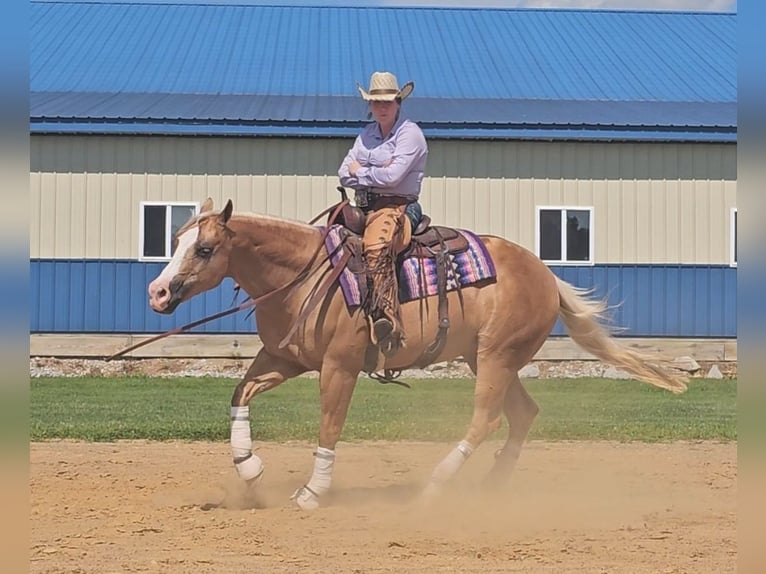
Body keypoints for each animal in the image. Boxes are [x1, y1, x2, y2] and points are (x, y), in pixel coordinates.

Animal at [147, 199, 688, 512]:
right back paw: (490, 487)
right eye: (175, 240)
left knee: (487, 418)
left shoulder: (339, 367)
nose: (157, 292)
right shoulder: (284, 359)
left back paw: (435, 486)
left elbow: (329, 426)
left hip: (495, 358)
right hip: (490, 358)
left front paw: (312, 493)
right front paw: (251, 472)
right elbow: (240, 394)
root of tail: (545, 274)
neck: (303, 275)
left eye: (205, 248)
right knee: (522, 414)